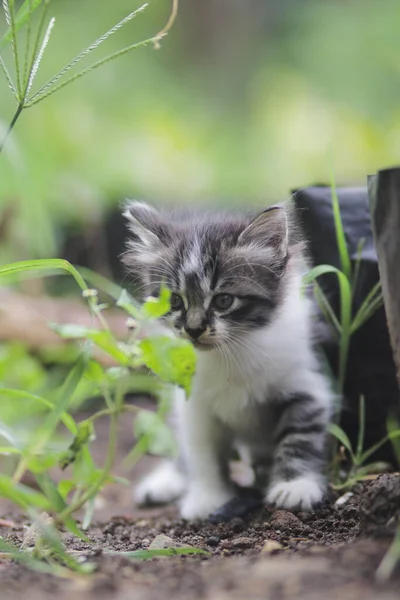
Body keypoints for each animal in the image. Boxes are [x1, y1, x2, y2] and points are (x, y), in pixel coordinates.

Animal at [123, 203, 332, 520]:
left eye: (223, 300)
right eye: (175, 301)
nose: (193, 329)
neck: (229, 353)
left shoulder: (307, 384)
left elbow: (300, 437)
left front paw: (294, 486)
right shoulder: (194, 405)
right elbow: (202, 453)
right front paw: (208, 498)